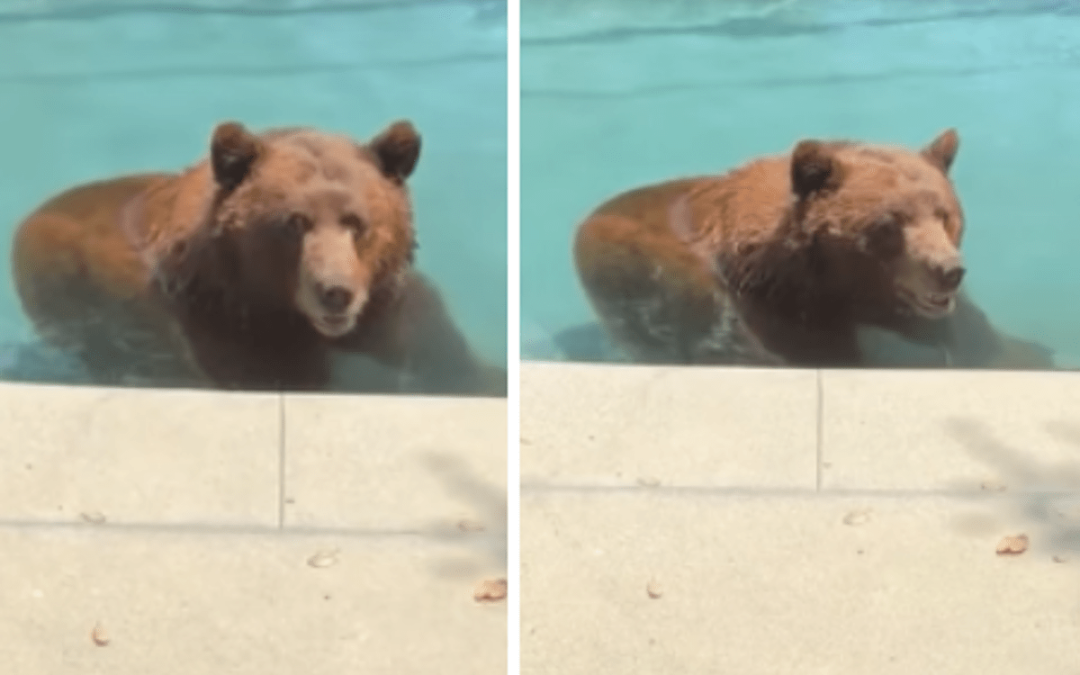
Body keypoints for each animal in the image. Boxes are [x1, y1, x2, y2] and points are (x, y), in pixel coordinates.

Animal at [11, 119, 507, 395]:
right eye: (295, 222)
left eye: (356, 222)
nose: (336, 292)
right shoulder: (230, 329)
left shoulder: (396, 312)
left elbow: (458, 367)